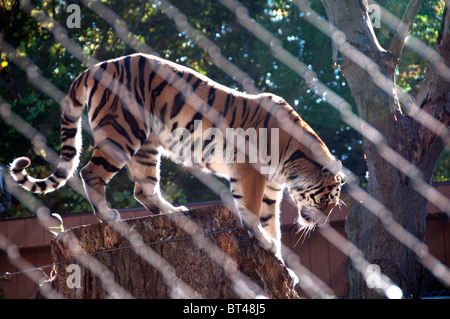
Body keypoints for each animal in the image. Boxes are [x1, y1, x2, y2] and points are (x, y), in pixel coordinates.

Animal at [8, 53, 344, 262]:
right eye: (327, 200)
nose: (321, 222)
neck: (292, 165)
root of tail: (99, 65)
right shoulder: (251, 172)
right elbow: (250, 211)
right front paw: (263, 241)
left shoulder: (272, 189)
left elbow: (270, 221)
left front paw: (277, 254)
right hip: (122, 132)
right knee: (90, 173)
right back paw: (109, 216)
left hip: (146, 146)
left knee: (143, 189)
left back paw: (176, 213)